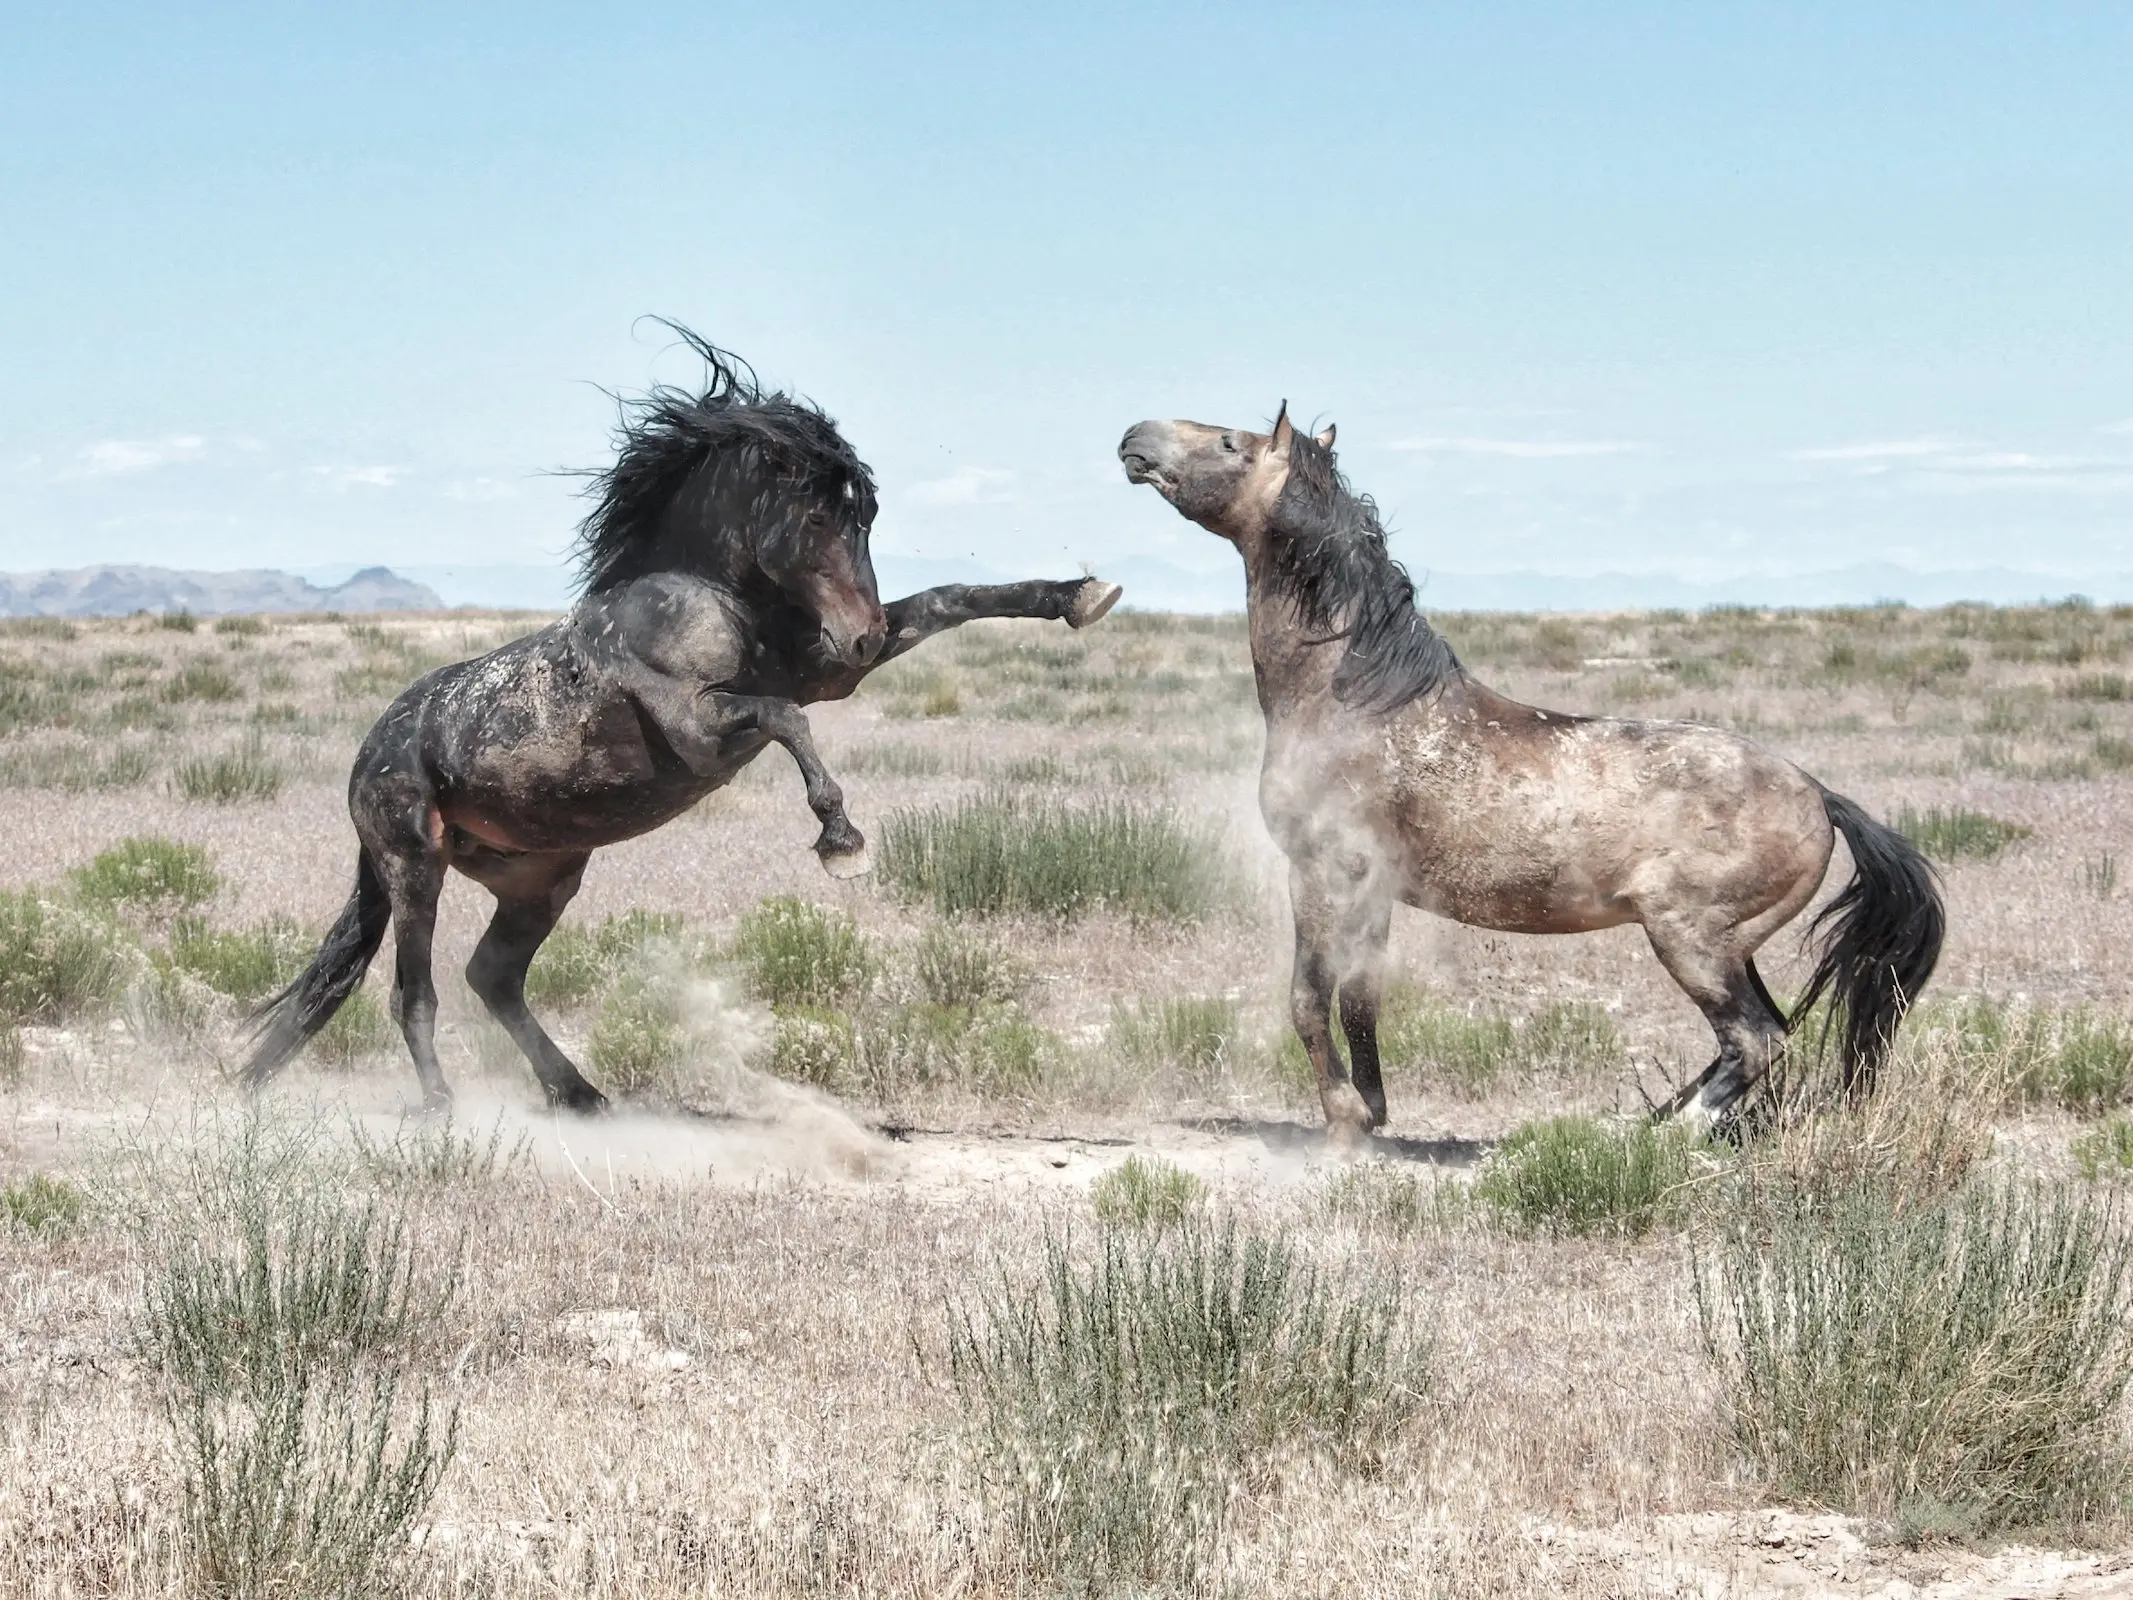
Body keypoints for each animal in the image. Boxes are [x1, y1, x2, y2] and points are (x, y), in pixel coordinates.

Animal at [244, 334, 1126, 1117]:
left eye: (867, 516)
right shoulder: (707, 730)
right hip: (413, 866)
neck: (697, 596)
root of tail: (370, 750)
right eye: (814, 520)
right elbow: (785, 719)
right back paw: (439, 1107)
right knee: (414, 992)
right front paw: (841, 840)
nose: (860, 632)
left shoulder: (826, 673)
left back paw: (580, 1095)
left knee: (491, 978)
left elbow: (950, 599)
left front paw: (1081, 594)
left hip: (541, 879)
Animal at [1126, 407, 1945, 1134]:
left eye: (1230, 443)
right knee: (1757, 1035)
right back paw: (1645, 1123)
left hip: (1691, 940)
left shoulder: (1324, 874)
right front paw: (1374, 1110)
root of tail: (1819, 797)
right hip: (1733, 950)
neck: (1354, 698)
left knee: (1753, 1040)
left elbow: (1307, 999)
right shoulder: (1373, 891)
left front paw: (1343, 1120)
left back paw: (1661, 1139)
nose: (1136, 437)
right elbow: (1361, 998)